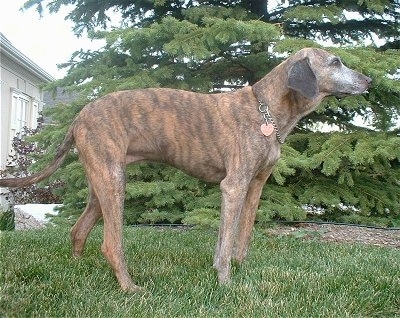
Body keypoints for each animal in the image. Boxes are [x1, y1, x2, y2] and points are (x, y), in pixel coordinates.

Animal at [0, 48, 370, 292]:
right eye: (335, 62)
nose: (368, 79)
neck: (264, 111)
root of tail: (79, 116)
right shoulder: (234, 186)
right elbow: (226, 243)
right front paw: (226, 284)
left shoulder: (255, 187)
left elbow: (240, 239)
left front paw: (236, 270)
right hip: (113, 182)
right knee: (111, 245)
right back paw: (130, 288)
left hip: (100, 184)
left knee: (78, 231)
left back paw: (77, 272)